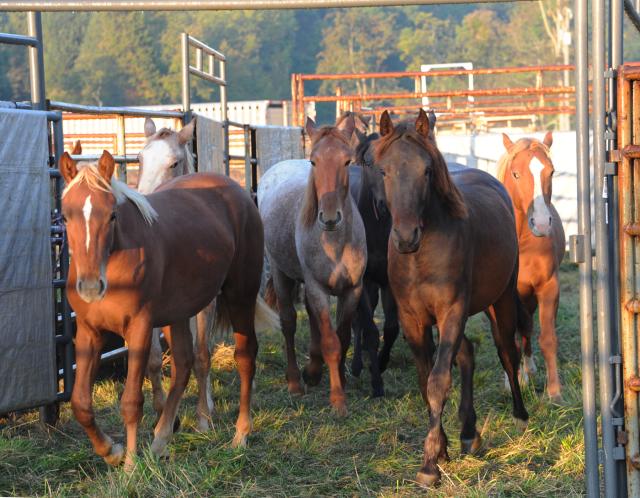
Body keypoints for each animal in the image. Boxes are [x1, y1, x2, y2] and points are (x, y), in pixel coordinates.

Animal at [56, 150, 274, 468]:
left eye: (112, 215)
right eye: (65, 215)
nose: (91, 287)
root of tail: (237, 191)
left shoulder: (139, 328)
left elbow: (132, 401)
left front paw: (130, 466)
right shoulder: (88, 332)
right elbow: (81, 404)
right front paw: (111, 451)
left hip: (239, 295)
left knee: (245, 357)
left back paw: (240, 435)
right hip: (179, 313)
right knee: (184, 364)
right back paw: (161, 440)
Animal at [135, 116, 218, 432]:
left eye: (174, 163)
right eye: (139, 158)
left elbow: (202, 354)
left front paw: (203, 420)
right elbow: (154, 360)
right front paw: (163, 413)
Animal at [256, 115, 364, 414]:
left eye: (347, 161)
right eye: (314, 162)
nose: (329, 217)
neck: (336, 243)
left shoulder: (352, 289)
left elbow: (343, 336)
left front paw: (337, 380)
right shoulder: (317, 288)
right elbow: (331, 342)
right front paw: (338, 400)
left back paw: (313, 371)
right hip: (281, 274)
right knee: (289, 323)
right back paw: (295, 382)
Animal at [372, 109, 528, 486]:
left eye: (426, 171)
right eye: (383, 170)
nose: (406, 236)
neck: (421, 256)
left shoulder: (452, 311)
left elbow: (438, 381)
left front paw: (430, 464)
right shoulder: (413, 320)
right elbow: (425, 378)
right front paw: (441, 449)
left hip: (499, 300)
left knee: (507, 351)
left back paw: (519, 415)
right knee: (468, 353)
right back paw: (469, 432)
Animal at [496, 132, 564, 400]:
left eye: (551, 171)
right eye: (515, 174)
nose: (543, 223)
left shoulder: (548, 287)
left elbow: (548, 338)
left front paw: (554, 392)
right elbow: (507, 340)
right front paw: (511, 383)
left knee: (526, 329)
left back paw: (529, 369)